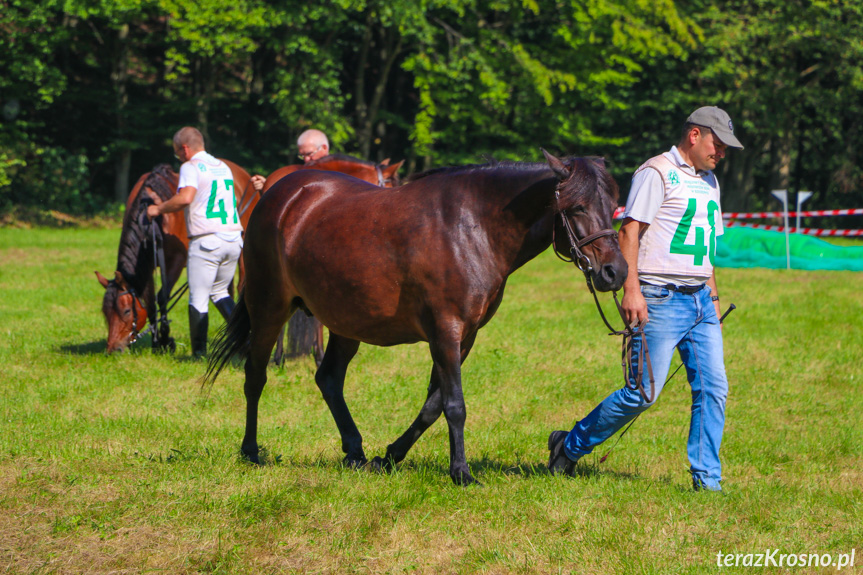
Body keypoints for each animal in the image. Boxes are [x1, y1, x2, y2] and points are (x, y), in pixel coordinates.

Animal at [98, 160, 258, 354]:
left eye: (127, 311)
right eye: (105, 312)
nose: (113, 349)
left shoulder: (174, 262)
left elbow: (162, 298)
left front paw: (165, 340)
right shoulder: (146, 265)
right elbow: (150, 302)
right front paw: (157, 341)